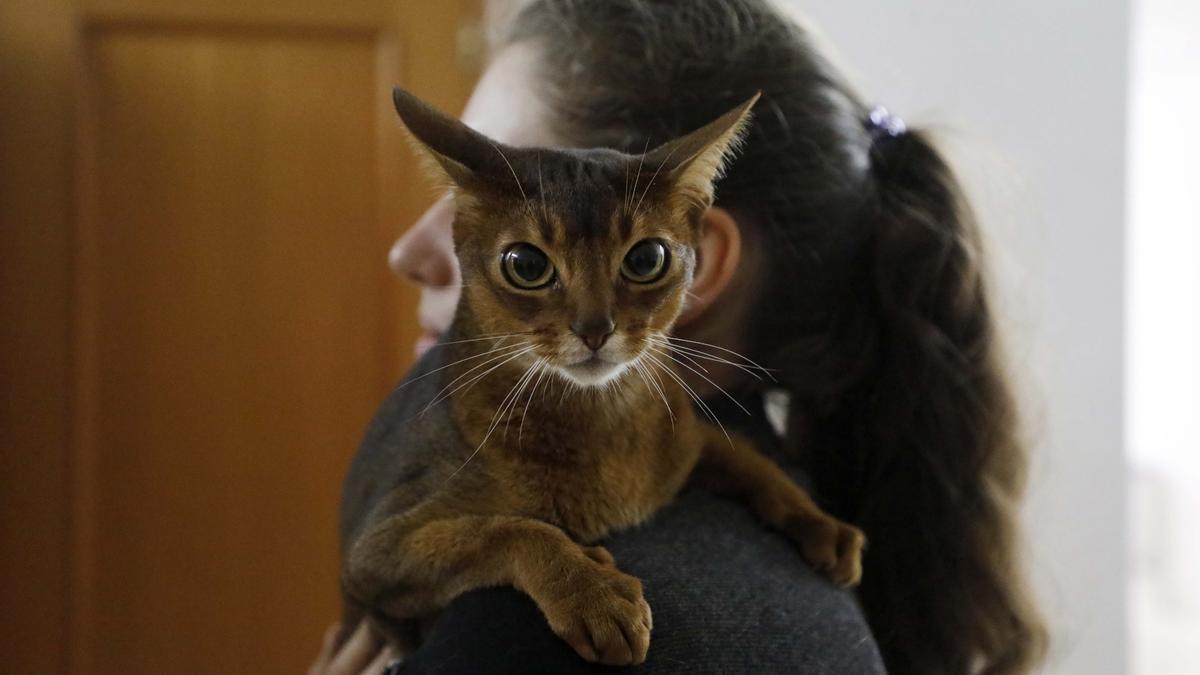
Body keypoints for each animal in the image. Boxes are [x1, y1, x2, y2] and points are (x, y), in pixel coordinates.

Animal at [338, 88, 864, 662]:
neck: (599, 427)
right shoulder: (373, 554)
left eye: (647, 258)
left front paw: (821, 522)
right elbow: (510, 531)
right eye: (526, 264)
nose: (595, 329)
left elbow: (754, 462)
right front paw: (593, 594)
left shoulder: (686, 438)